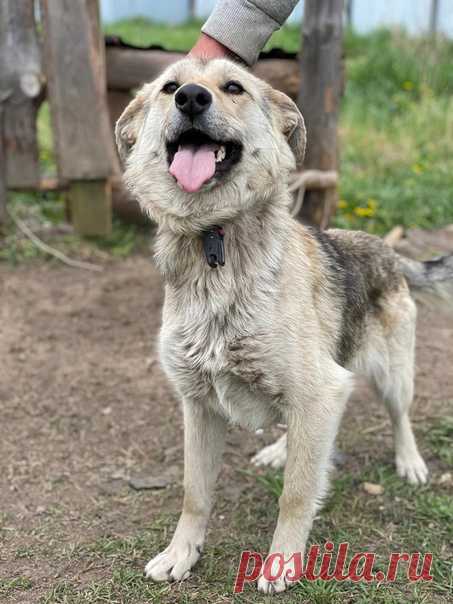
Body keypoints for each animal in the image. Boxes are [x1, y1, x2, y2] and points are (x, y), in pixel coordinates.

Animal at [116, 57, 452, 596]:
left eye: (234, 87)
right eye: (170, 88)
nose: (191, 98)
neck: (214, 239)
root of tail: (386, 249)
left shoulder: (319, 391)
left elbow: (295, 494)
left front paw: (281, 563)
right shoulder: (199, 405)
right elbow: (195, 492)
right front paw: (180, 554)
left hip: (392, 376)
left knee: (399, 417)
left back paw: (410, 462)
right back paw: (281, 448)